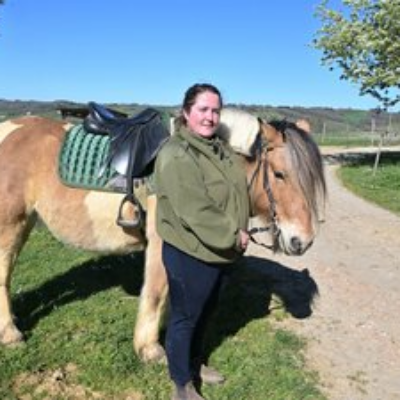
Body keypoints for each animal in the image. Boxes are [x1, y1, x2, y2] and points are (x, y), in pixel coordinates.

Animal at [0, 108, 326, 362]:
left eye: (310, 179)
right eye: (280, 175)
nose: (303, 241)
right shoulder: (161, 244)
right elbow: (156, 292)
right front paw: (150, 349)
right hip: (10, 224)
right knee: (3, 275)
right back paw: (10, 333)